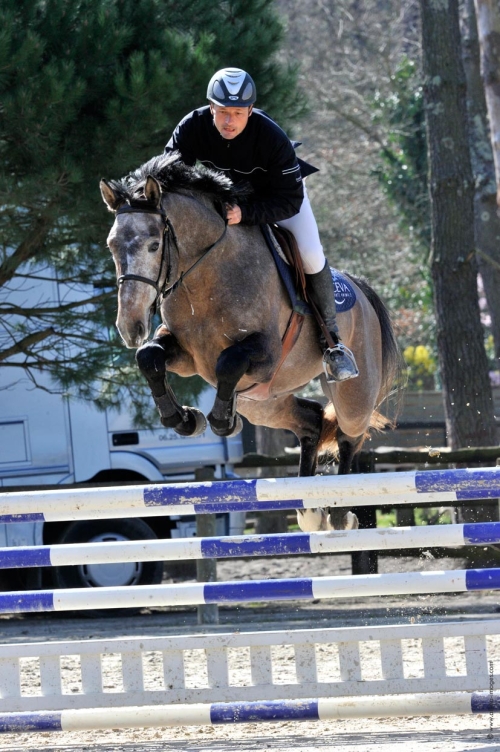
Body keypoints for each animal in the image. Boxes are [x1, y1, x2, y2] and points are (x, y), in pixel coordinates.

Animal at [100, 151, 402, 528]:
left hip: (352, 394)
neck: (206, 276)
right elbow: (149, 357)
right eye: (111, 246)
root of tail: (359, 288)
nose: (131, 326)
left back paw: (339, 513)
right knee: (311, 421)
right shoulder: (185, 356)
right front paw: (184, 419)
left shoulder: (266, 354)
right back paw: (309, 510)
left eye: (155, 244)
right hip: (263, 402)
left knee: (350, 435)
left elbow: (229, 361)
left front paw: (221, 420)